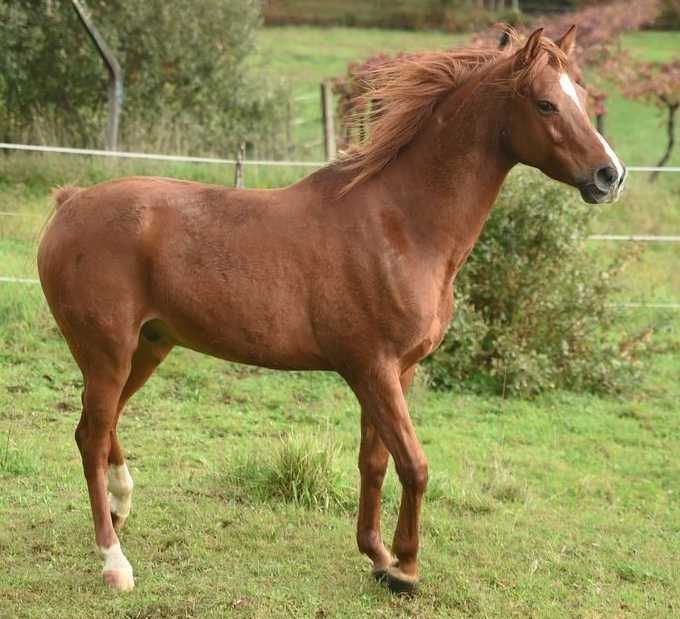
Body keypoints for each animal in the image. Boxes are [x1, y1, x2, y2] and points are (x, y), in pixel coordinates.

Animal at [37, 26, 625, 594]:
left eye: (581, 96)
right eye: (546, 104)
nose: (609, 176)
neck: (400, 224)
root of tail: (71, 203)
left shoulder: (396, 373)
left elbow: (375, 461)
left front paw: (379, 556)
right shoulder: (373, 369)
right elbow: (414, 465)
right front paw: (406, 570)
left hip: (147, 348)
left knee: (104, 424)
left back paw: (122, 504)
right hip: (108, 352)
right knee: (90, 435)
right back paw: (115, 562)